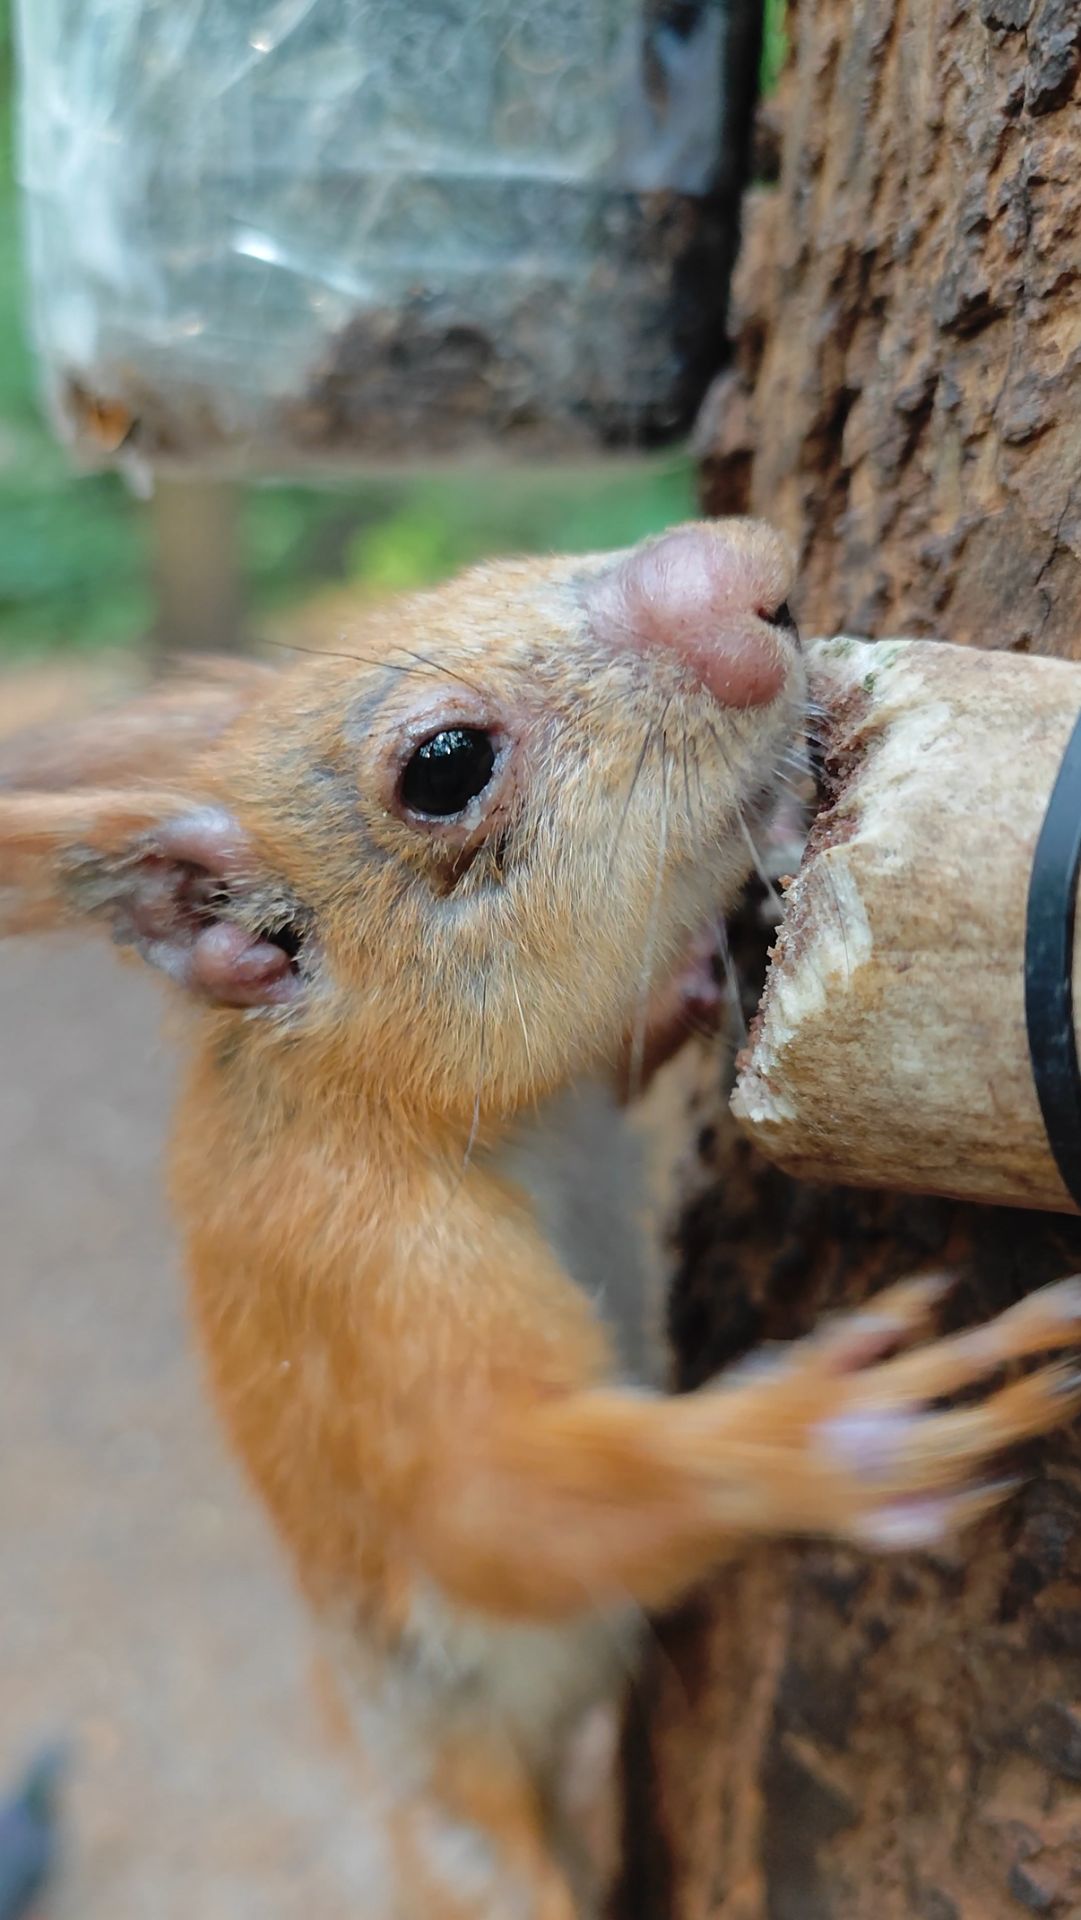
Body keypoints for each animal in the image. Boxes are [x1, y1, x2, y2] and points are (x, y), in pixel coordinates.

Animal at [3, 518, 1081, 1919]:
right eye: (444, 767)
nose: (747, 568)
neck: (368, 1105)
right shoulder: (369, 1279)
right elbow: (496, 1509)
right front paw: (830, 1433)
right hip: (472, 1838)